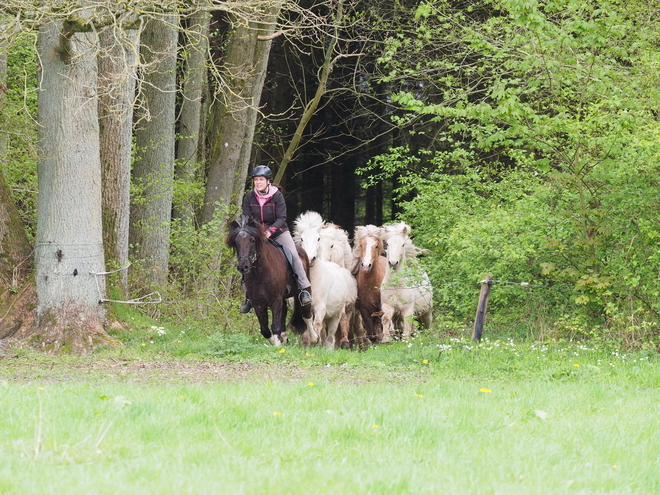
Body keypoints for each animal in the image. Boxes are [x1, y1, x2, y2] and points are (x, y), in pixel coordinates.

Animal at [226, 215, 314, 346]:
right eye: (236, 242)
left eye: (252, 240)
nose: (243, 267)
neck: (261, 272)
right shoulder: (258, 303)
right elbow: (265, 330)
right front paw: (277, 341)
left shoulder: (275, 300)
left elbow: (275, 326)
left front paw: (277, 345)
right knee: (285, 311)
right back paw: (285, 338)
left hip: (304, 289)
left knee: (306, 314)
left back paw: (314, 338)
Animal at [292, 211, 356, 350]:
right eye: (302, 239)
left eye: (318, 238)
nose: (310, 259)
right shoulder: (304, 308)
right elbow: (307, 326)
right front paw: (308, 343)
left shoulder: (320, 307)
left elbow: (317, 324)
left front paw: (315, 340)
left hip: (335, 315)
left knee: (330, 336)